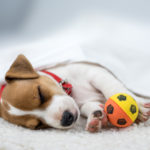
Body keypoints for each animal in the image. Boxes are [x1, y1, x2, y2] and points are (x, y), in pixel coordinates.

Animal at [0, 54, 150, 132]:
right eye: (38, 125)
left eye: (40, 93)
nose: (67, 118)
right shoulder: (85, 103)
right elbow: (89, 107)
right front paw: (95, 117)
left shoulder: (96, 72)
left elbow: (112, 88)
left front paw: (138, 106)